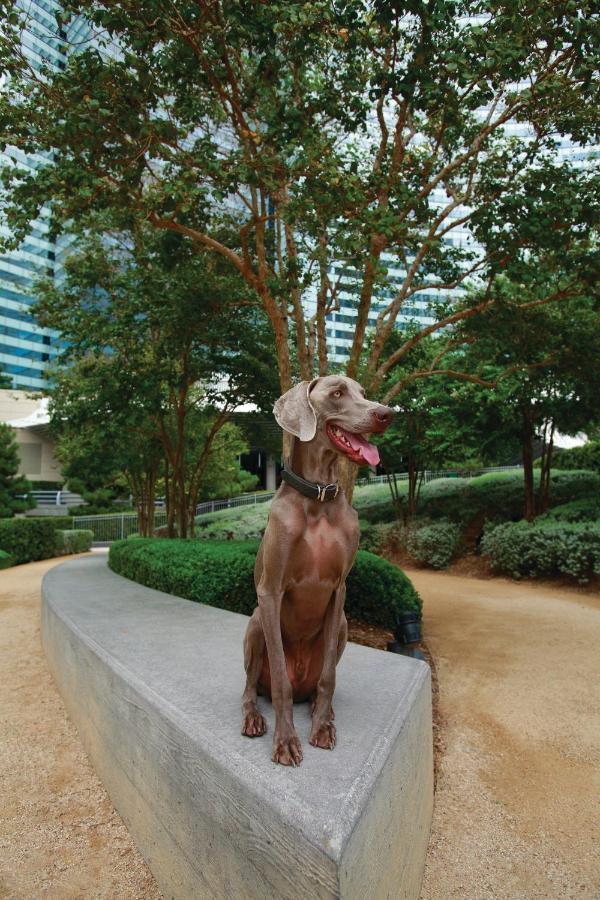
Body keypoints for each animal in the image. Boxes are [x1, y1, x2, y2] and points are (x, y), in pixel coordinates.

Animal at [239, 374, 394, 768]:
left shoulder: (340, 588)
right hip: (256, 622)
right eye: (337, 393)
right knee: (251, 687)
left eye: (363, 393)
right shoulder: (271, 590)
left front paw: (321, 726)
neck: (319, 497)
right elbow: (280, 679)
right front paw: (285, 740)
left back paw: (324, 711)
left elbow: (329, 678)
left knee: (318, 682)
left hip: (341, 627)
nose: (387, 413)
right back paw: (253, 717)